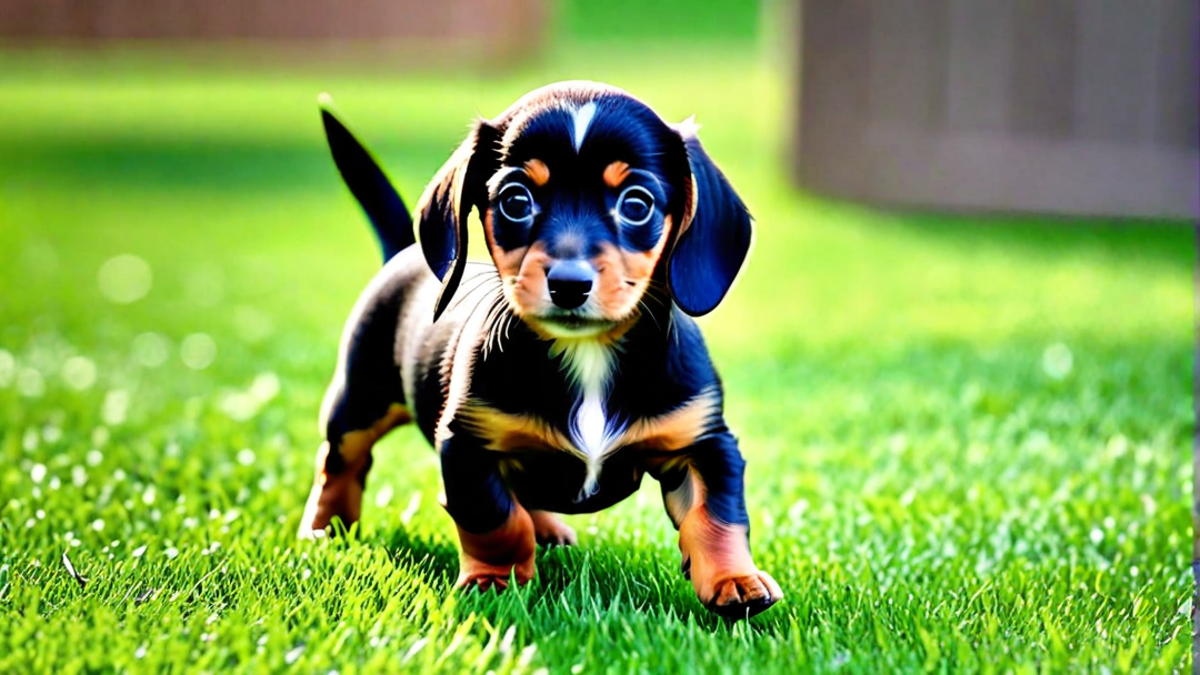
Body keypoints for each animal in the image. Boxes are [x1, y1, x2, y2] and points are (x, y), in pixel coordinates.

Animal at [300, 82, 782, 614]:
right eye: (516, 200)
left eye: (636, 204)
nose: (569, 285)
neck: (588, 352)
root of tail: (401, 252)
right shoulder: (467, 447)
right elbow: (495, 520)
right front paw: (496, 579)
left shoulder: (706, 443)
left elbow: (718, 515)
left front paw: (735, 580)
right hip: (358, 401)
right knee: (341, 462)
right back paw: (324, 529)